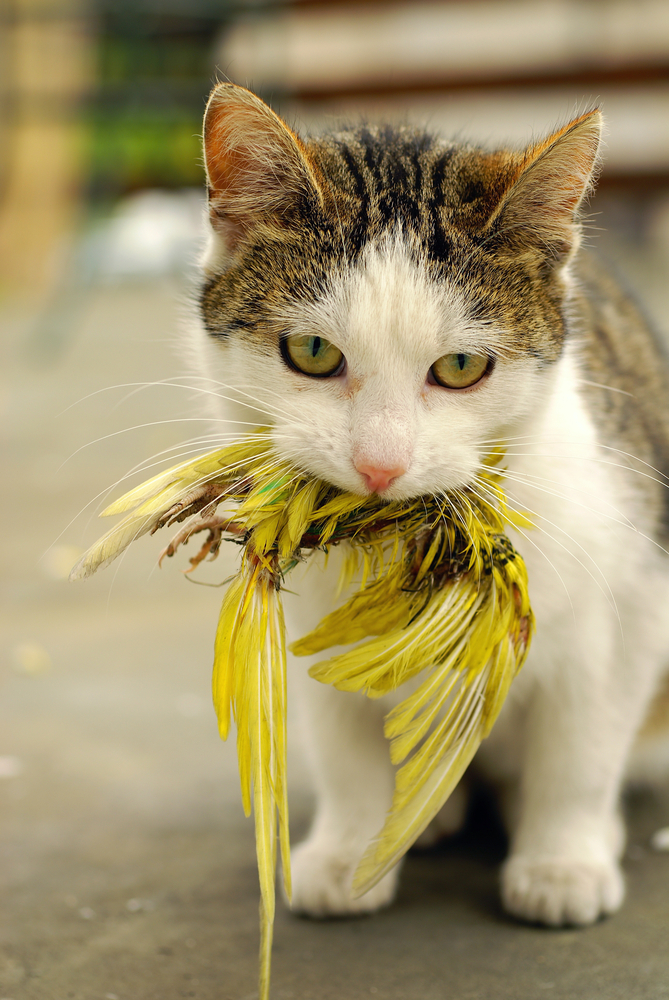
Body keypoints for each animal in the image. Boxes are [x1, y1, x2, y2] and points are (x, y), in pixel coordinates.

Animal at [189, 84, 668, 928]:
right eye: (311, 353)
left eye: (461, 366)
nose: (380, 464)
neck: (398, 537)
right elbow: (340, 737)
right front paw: (347, 850)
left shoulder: (635, 590)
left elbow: (581, 742)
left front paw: (561, 859)